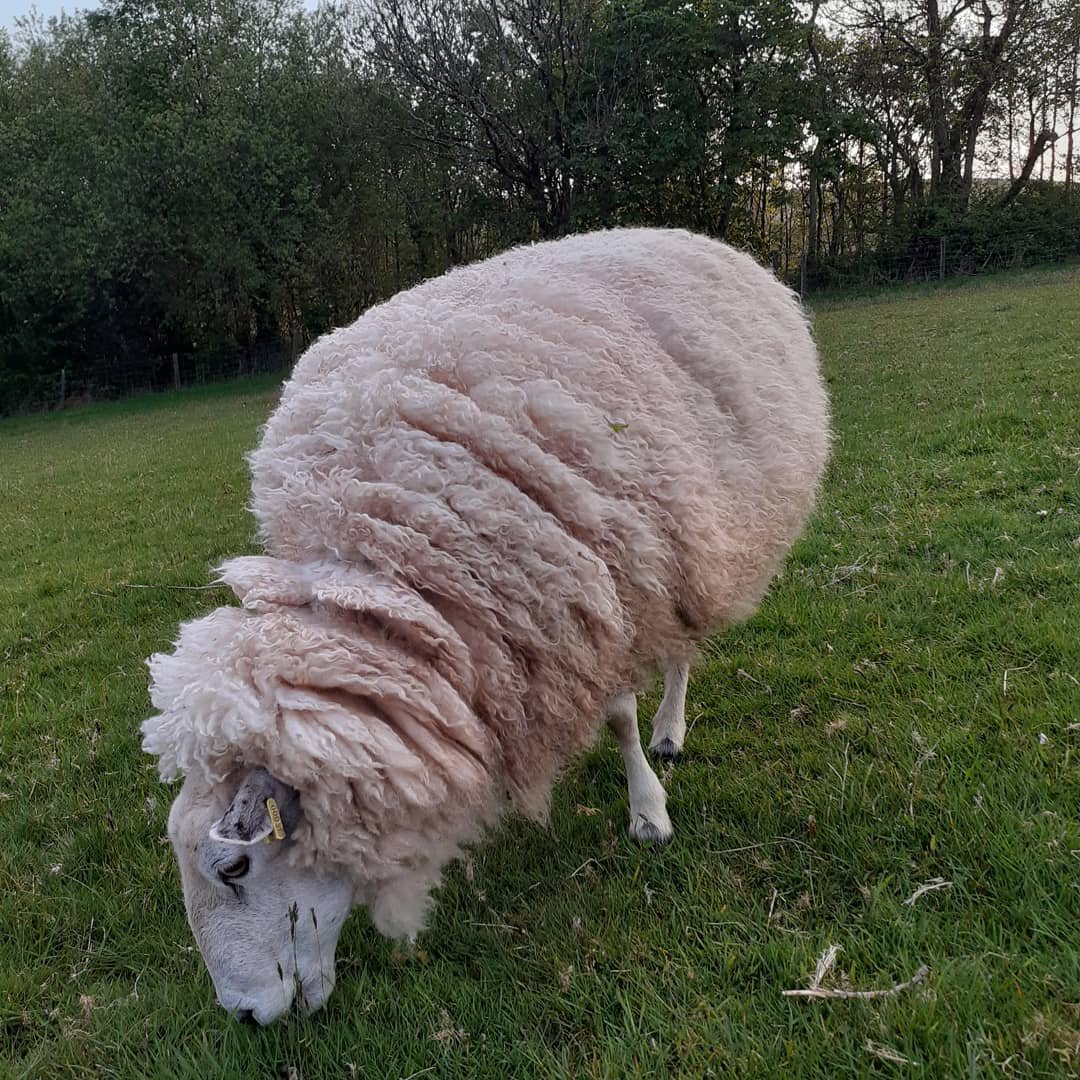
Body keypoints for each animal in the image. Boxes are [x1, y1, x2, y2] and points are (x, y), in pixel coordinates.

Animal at [143, 227, 830, 1024]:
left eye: (233, 865)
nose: (245, 1015)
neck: (390, 569)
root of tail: (689, 235)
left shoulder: (597, 593)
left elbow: (619, 718)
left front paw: (648, 811)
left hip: (676, 551)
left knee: (679, 652)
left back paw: (670, 728)